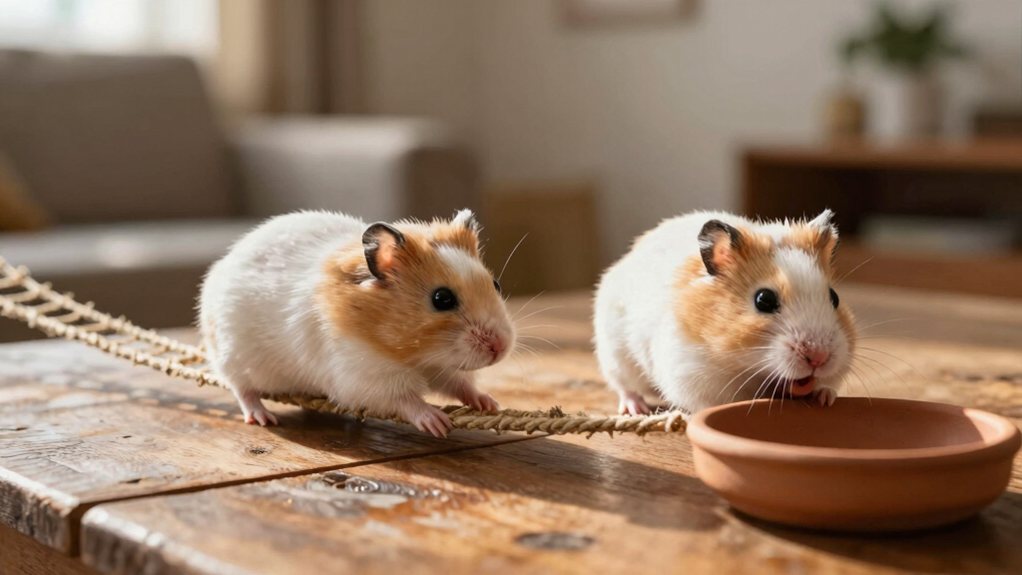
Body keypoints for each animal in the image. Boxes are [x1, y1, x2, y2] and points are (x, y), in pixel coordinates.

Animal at [198, 209, 515, 437]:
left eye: (496, 284)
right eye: (442, 299)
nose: (500, 347)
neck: (413, 355)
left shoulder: (441, 367)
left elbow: (460, 383)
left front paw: (488, 403)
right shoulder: (363, 377)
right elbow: (404, 399)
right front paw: (437, 423)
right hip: (234, 358)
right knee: (242, 389)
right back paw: (263, 418)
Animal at [594, 210, 855, 415]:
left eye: (834, 297)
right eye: (764, 300)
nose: (819, 358)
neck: (747, 365)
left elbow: (825, 385)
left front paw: (824, 398)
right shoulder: (693, 375)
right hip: (616, 356)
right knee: (625, 387)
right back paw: (636, 410)